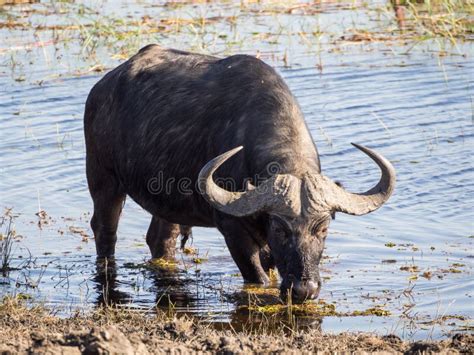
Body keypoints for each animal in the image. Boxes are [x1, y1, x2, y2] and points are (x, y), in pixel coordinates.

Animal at [85, 45, 396, 304]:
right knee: (104, 230)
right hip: (103, 177)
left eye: (323, 229)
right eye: (280, 229)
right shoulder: (233, 231)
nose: (304, 289)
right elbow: (257, 277)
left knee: (160, 239)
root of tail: (102, 87)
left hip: (166, 201)